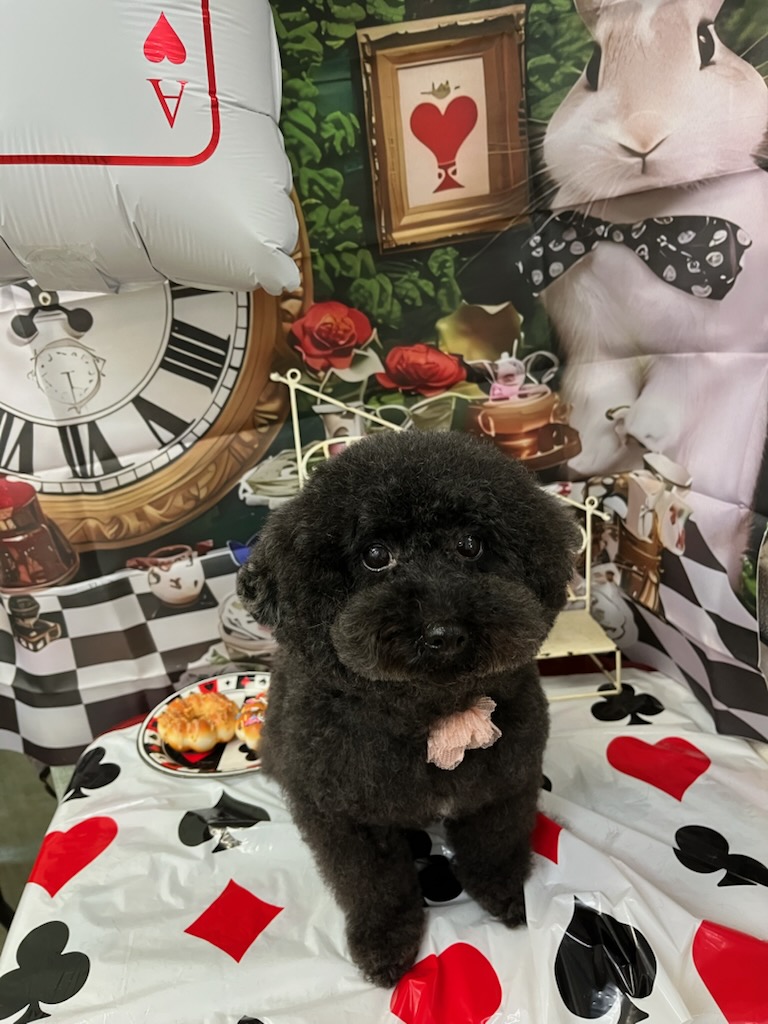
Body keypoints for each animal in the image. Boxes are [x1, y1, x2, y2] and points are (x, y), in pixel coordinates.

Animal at [237, 430, 579, 987]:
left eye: (470, 544)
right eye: (376, 554)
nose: (444, 632)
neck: (432, 716)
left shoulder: (505, 782)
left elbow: (496, 844)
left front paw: (505, 894)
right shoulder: (343, 817)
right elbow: (374, 883)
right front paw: (385, 941)